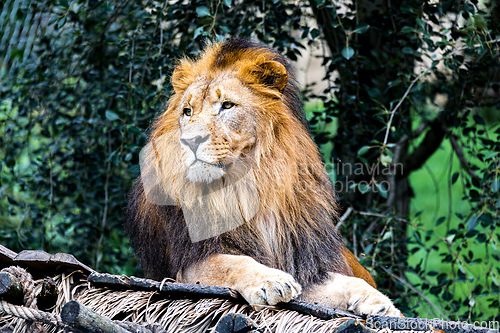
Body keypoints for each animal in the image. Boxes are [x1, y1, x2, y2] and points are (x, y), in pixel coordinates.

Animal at [126, 37, 402, 316]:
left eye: (227, 105)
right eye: (187, 111)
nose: (190, 140)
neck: (249, 185)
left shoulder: (305, 265)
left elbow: (349, 283)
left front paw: (384, 306)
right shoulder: (188, 264)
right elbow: (233, 263)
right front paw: (271, 281)